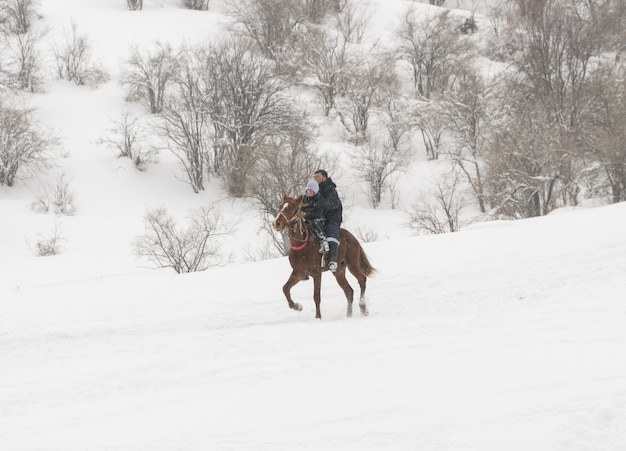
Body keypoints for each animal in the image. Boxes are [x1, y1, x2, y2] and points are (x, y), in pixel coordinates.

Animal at [270, 194, 372, 322]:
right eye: (280, 207)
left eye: (291, 209)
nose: (276, 223)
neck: (302, 245)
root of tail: (353, 237)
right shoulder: (299, 273)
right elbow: (285, 288)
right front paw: (297, 306)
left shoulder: (316, 273)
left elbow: (316, 296)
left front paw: (318, 317)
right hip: (338, 271)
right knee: (349, 291)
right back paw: (348, 315)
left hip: (352, 264)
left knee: (362, 280)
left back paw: (363, 307)